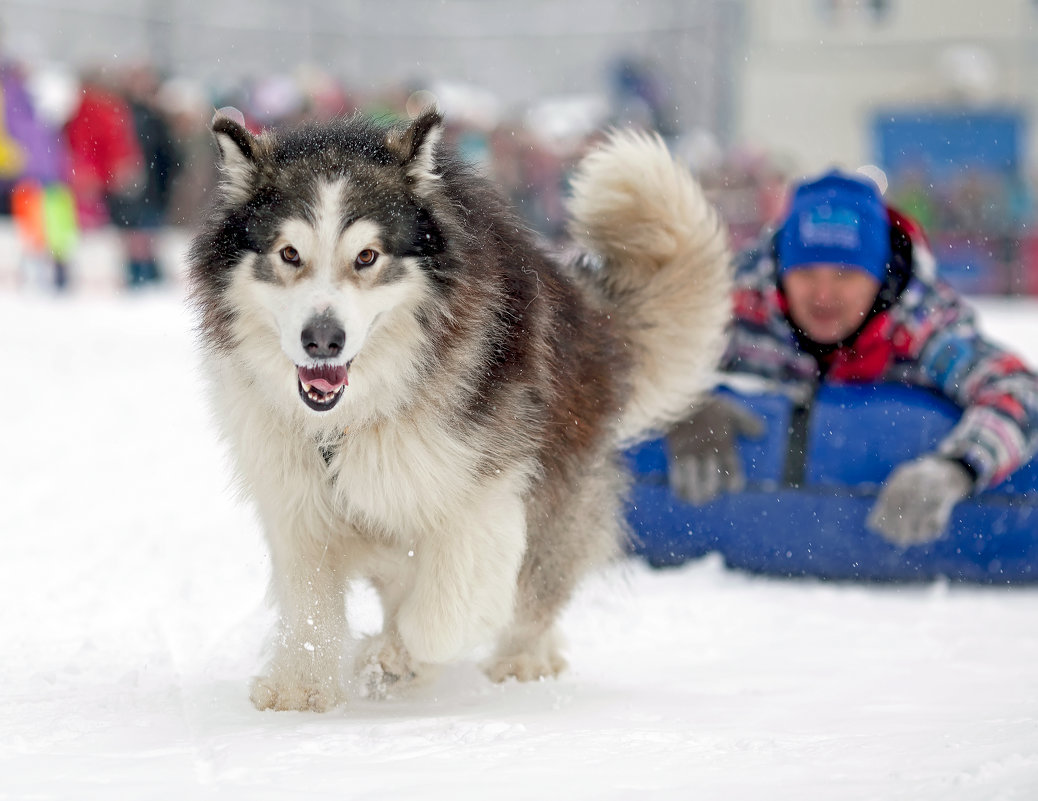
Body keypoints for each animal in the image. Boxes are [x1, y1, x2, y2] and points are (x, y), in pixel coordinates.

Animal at [190, 103, 734, 709]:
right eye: (289, 254)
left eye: (367, 256)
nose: (322, 340)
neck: (355, 419)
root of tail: (591, 312)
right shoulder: (299, 504)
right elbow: (309, 606)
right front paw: (301, 686)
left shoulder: (482, 497)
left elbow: (445, 615)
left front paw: (400, 658)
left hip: (556, 491)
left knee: (534, 589)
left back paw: (522, 659)